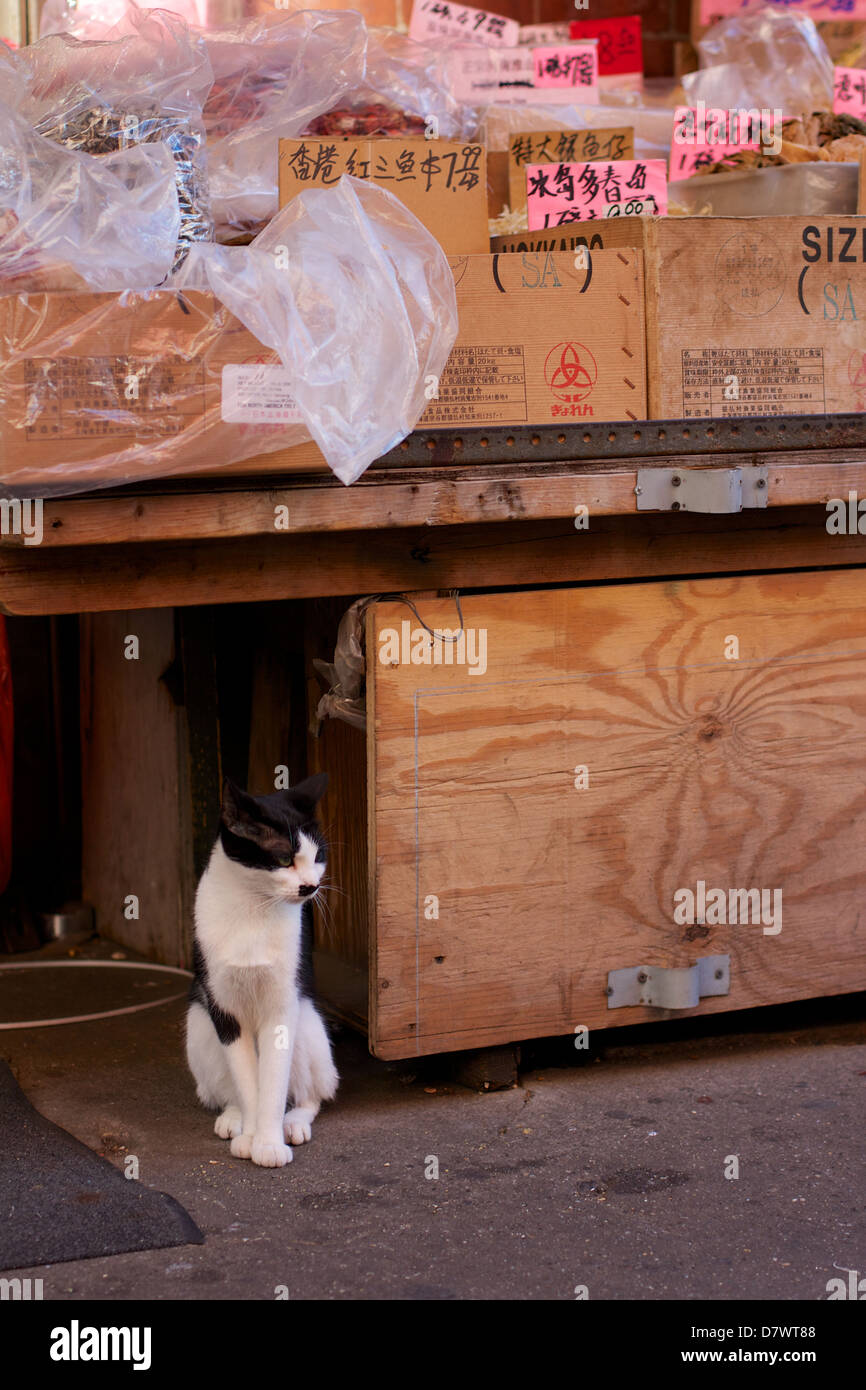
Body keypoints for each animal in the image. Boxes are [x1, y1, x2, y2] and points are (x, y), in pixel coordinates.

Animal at [186, 778, 339, 1167]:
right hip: (200, 1029)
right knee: (228, 1088)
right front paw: (252, 1136)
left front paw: (268, 1143)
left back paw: (293, 1122)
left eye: (318, 856)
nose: (311, 886)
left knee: (313, 1093)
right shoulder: (224, 1010)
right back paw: (234, 1119)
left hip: (308, 1029)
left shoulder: (282, 1007)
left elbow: (273, 1083)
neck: (254, 907)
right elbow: (248, 1083)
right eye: (284, 858)